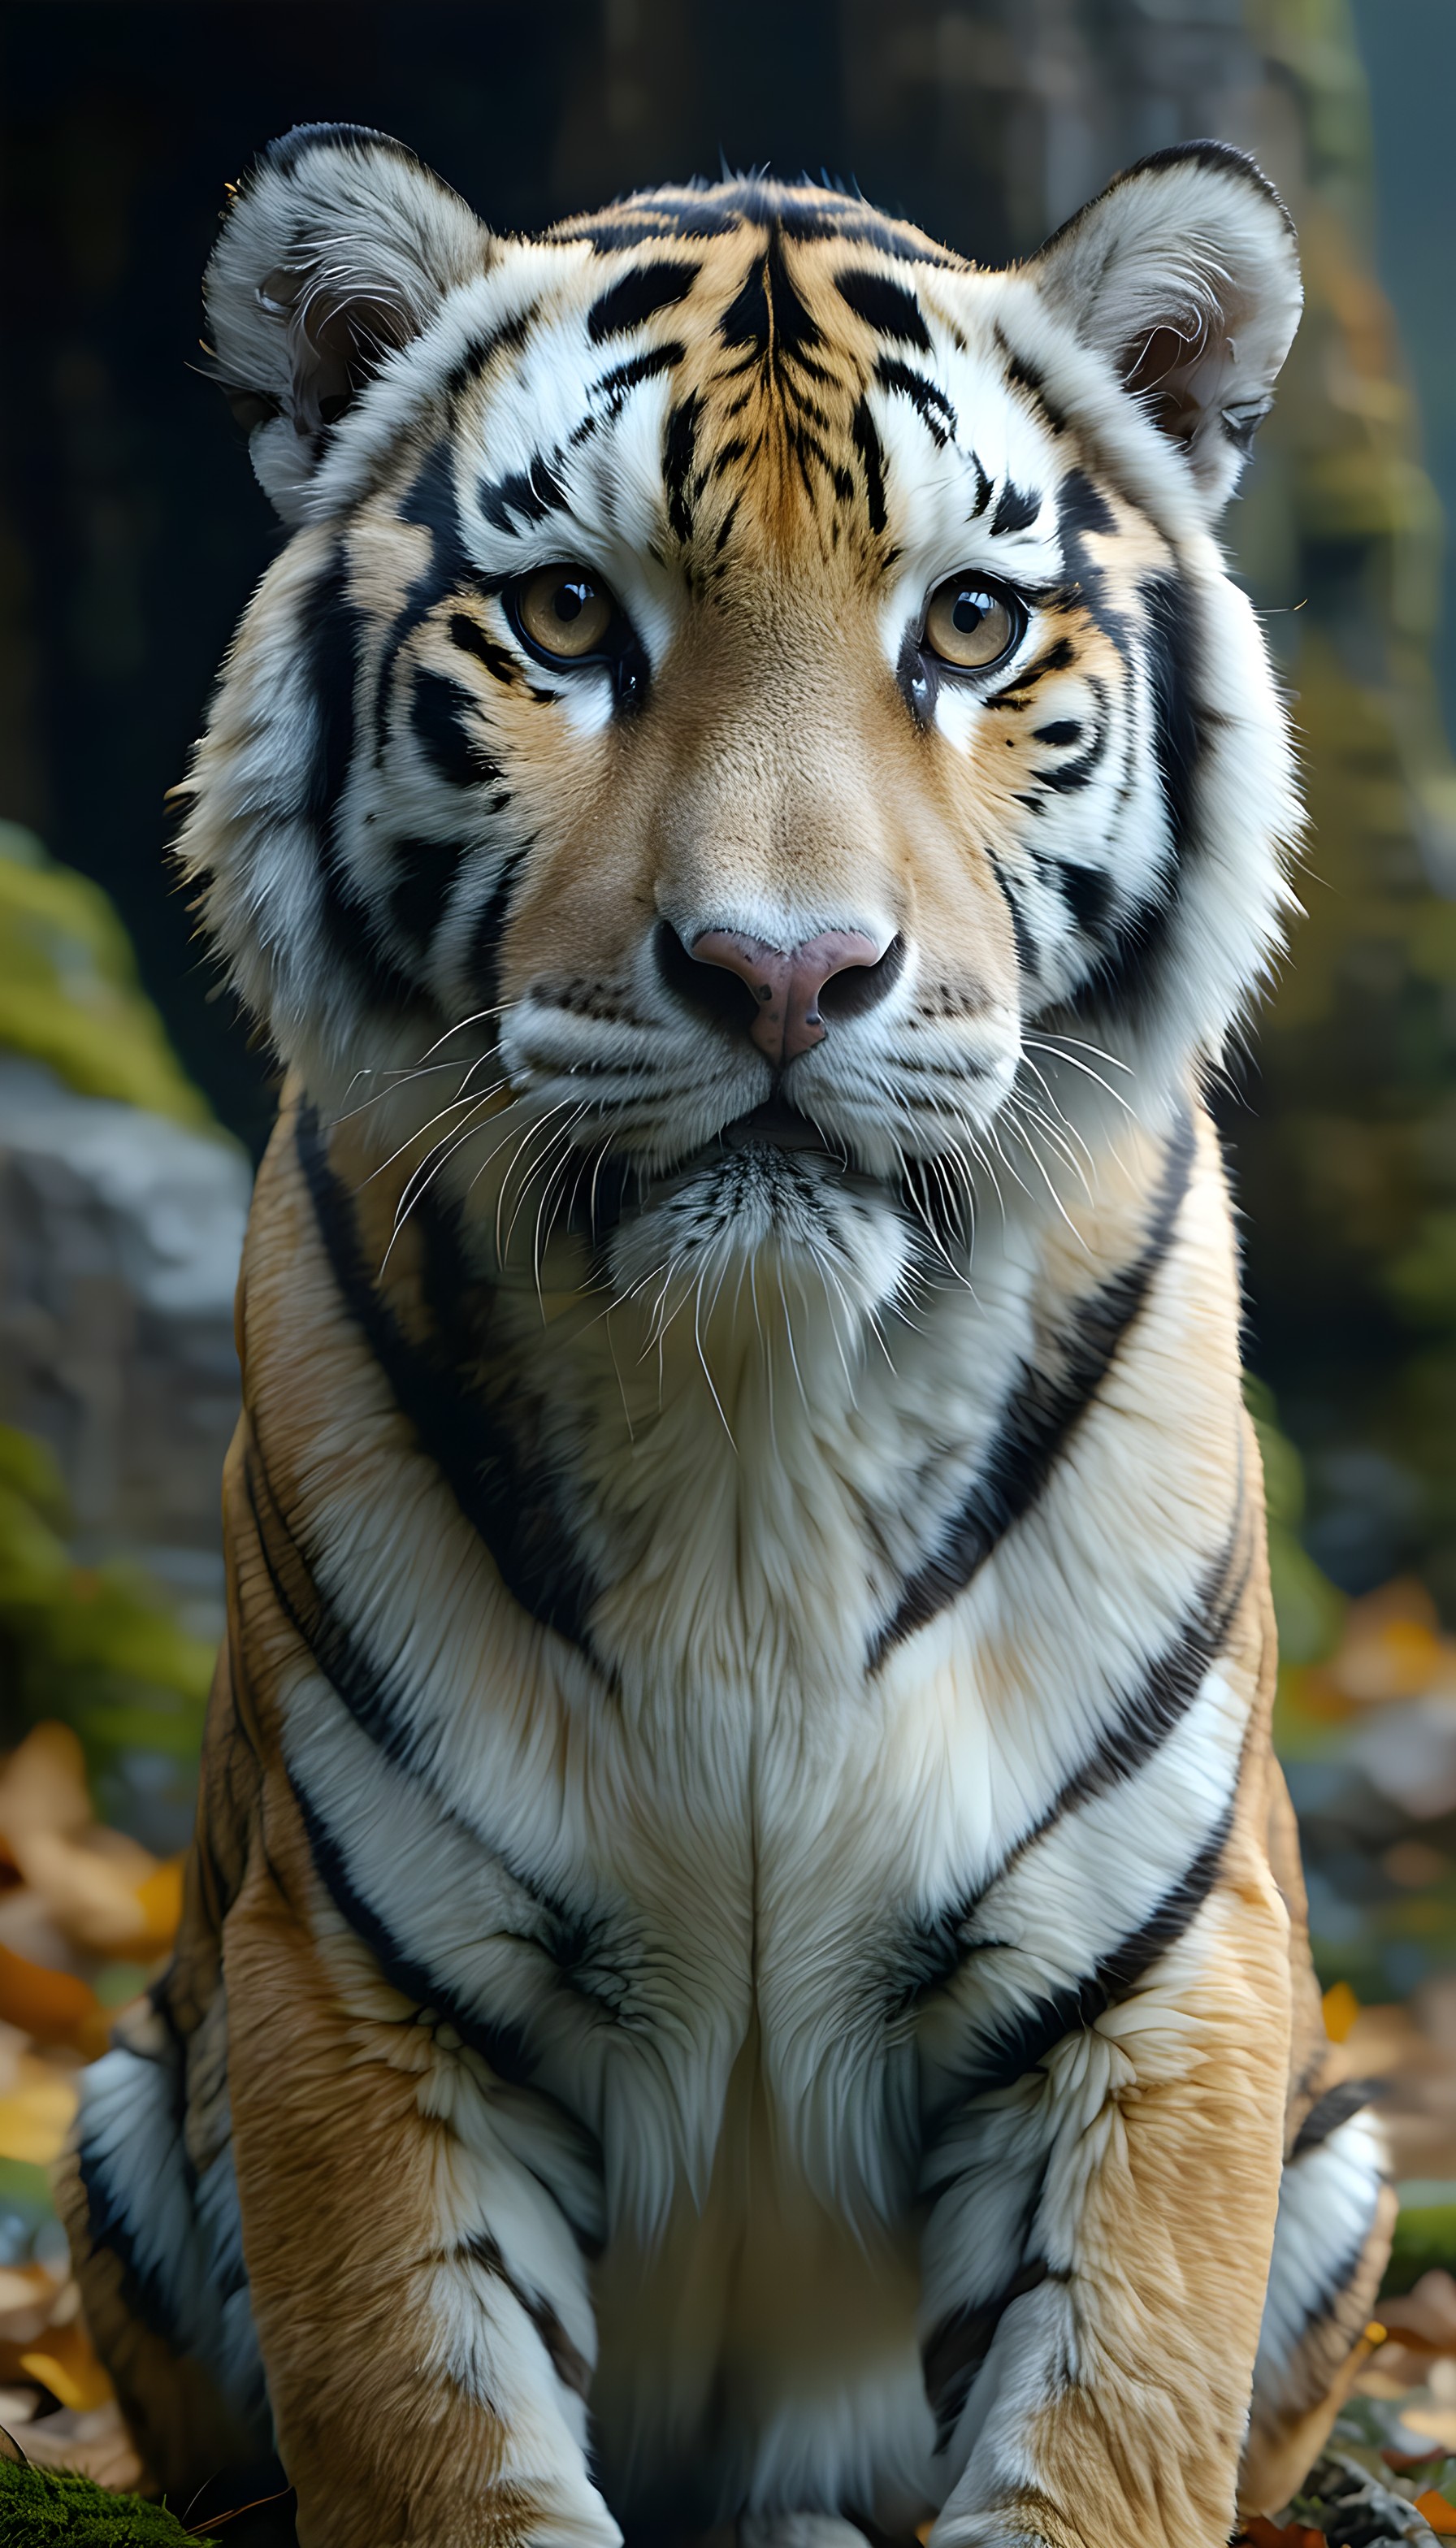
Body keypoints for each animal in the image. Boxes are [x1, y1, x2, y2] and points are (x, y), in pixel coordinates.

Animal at [60, 121, 1393, 2548]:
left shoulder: (1162, 1985)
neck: (764, 1396)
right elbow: (432, 2429)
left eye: (966, 624)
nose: (786, 973)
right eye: (572, 618)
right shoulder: (360, 1990)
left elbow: (1109, 2430)